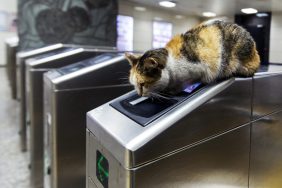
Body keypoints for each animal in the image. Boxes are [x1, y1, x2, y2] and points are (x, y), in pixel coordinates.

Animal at [125, 19, 260, 96]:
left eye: (142, 84)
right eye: (134, 85)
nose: (139, 95)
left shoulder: (199, 70)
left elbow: (187, 83)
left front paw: (173, 91)